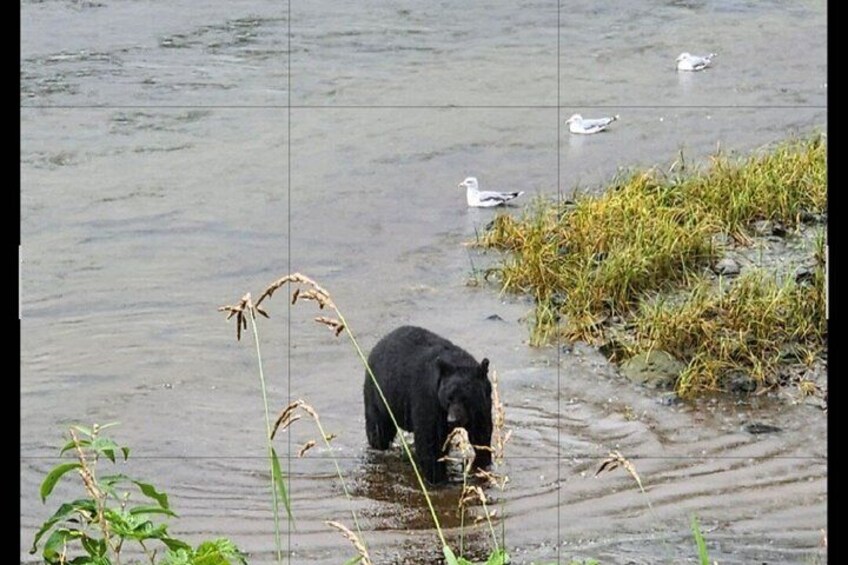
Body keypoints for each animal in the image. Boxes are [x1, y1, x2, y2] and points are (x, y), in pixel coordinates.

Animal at [363, 325, 493, 484]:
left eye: (466, 398)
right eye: (449, 398)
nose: (452, 420)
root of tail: (378, 344)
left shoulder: (482, 406)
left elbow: (481, 435)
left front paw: (482, 465)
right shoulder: (430, 400)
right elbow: (430, 439)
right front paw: (437, 478)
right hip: (378, 394)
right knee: (378, 429)